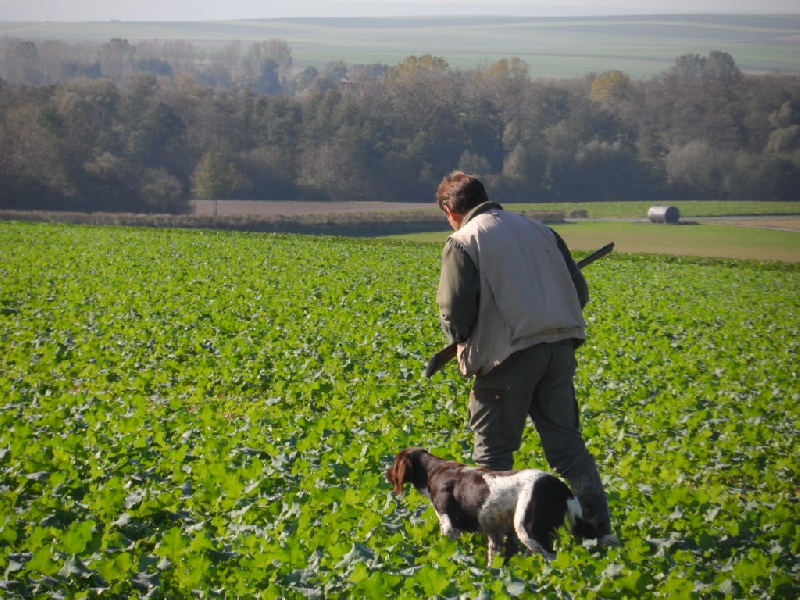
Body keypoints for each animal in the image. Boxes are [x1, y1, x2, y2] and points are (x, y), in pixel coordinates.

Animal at [384, 448, 596, 564]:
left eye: (395, 463)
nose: (385, 473)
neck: (434, 471)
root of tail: (561, 487)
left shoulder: (449, 526)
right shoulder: (495, 533)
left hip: (527, 528)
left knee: (553, 559)